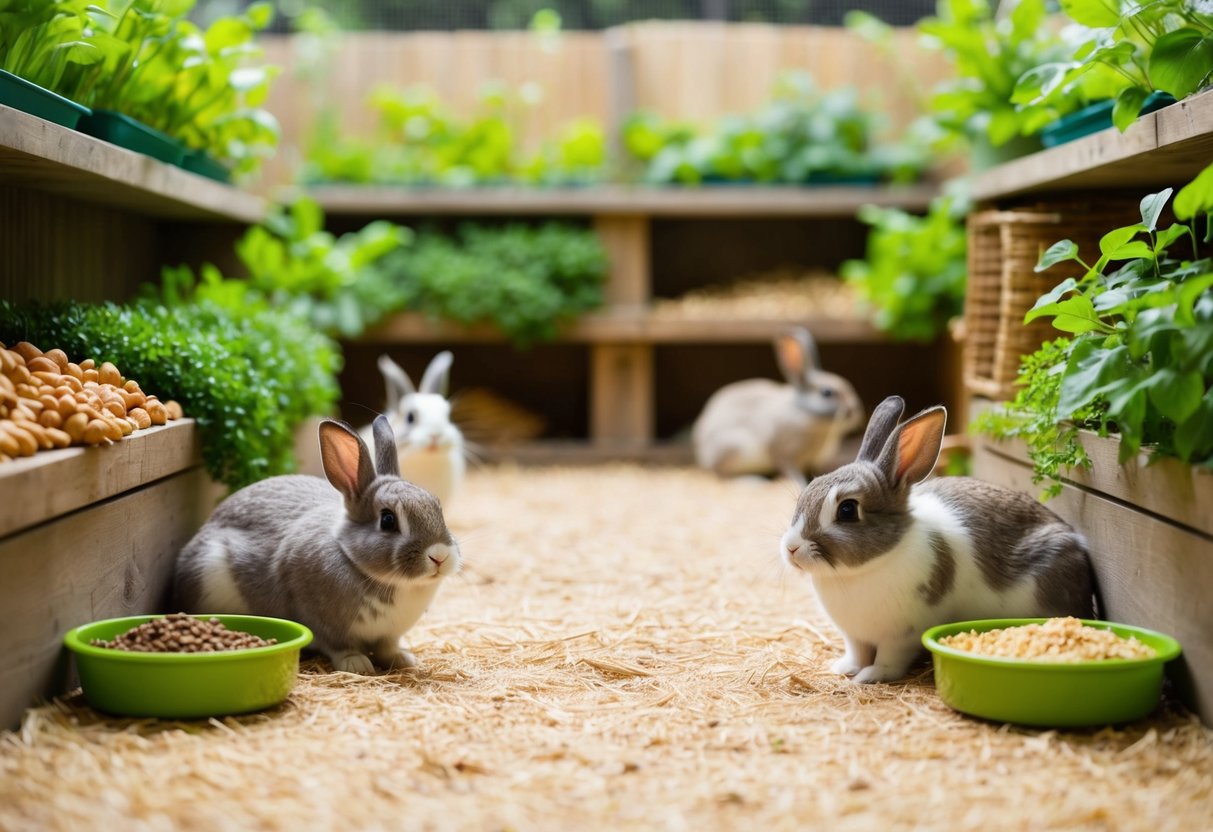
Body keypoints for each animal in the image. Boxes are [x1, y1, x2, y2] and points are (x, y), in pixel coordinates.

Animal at [175, 417, 463, 679]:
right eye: (388, 520)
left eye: (436, 505)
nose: (439, 555)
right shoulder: (321, 622)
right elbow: (339, 646)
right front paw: (357, 664)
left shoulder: (388, 634)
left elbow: (387, 647)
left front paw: (403, 659)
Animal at [693, 327, 863, 489]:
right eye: (826, 393)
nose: (855, 411)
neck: (806, 413)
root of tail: (702, 454)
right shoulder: (785, 457)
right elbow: (792, 472)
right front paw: (801, 484)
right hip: (733, 448)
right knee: (722, 475)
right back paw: (752, 482)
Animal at [781, 397, 1096, 684]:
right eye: (808, 489)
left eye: (847, 510)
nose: (791, 548)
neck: (863, 571)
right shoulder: (855, 636)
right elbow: (857, 652)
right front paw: (844, 668)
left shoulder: (902, 635)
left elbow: (888, 659)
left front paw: (870, 677)